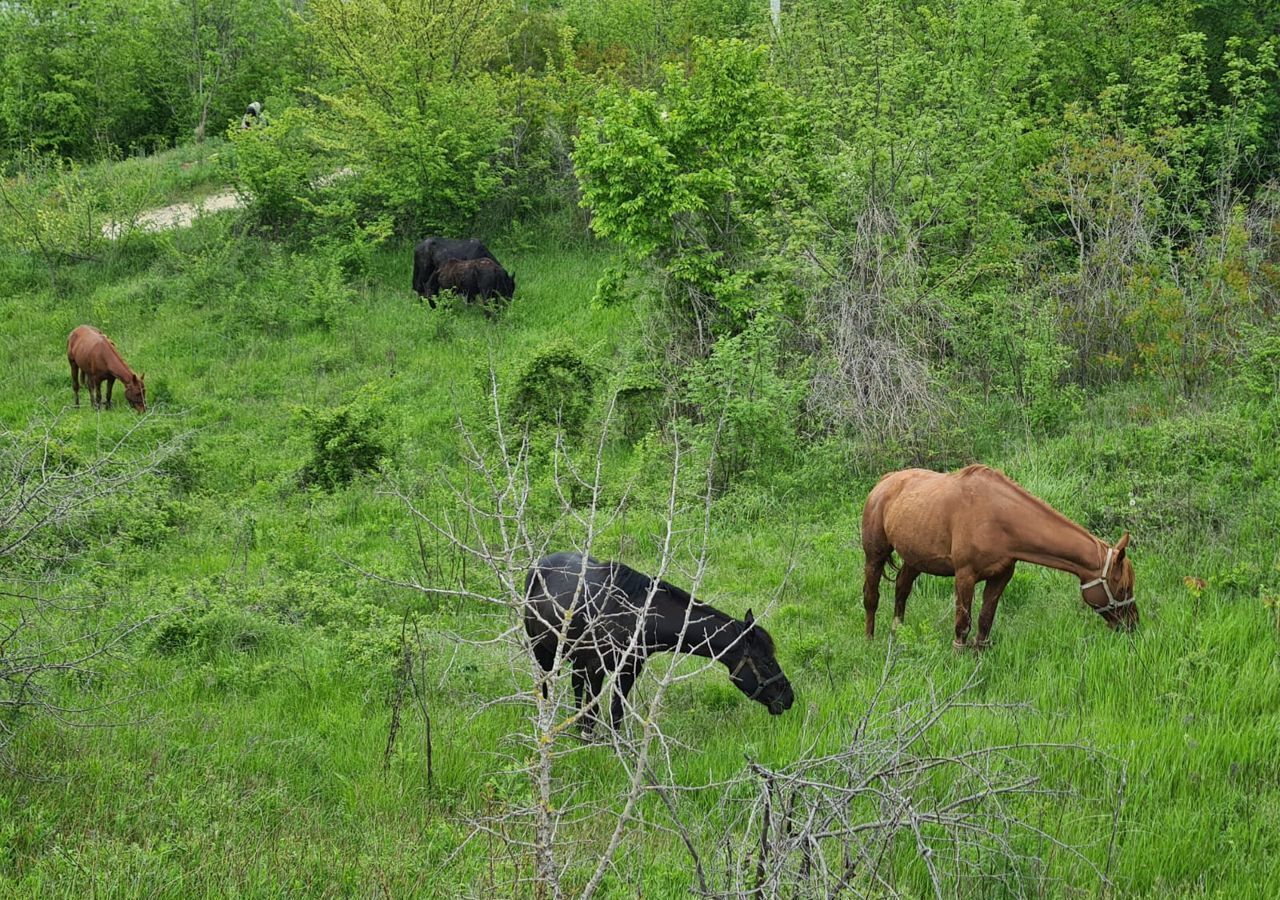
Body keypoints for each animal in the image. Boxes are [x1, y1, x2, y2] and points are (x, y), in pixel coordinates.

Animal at [524, 547, 793, 732]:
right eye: (766, 661)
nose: (789, 697)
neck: (636, 616)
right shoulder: (595, 668)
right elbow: (593, 713)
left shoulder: (629, 669)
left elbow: (615, 712)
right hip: (543, 653)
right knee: (546, 690)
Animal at [865, 466, 1136, 647]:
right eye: (1122, 588)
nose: (1132, 625)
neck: (998, 518)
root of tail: (884, 481)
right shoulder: (964, 576)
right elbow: (962, 625)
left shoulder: (1001, 576)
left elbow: (985, 622)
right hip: (874, 555)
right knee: (871, 597)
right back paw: (870, 640)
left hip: (915, 559)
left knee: (902, 588)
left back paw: (897, 632)